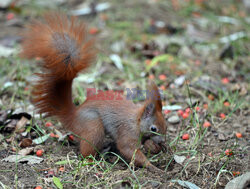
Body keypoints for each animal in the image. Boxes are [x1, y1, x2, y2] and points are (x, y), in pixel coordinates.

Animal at [21, 11, 166, 171]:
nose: (162, 141)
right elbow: (128, 149)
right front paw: (152, 167)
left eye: (165, 125)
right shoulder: (128, 133)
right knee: (86, 150)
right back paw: (93, 160)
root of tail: (74, 117)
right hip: (93, 126)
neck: (136, 121)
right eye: (153, 128)